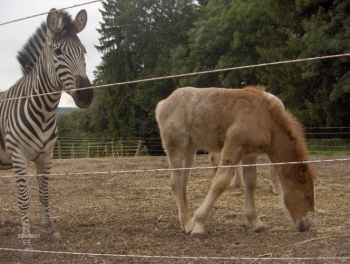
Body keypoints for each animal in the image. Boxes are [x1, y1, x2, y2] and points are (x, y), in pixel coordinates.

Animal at [0, 7, 94, 260]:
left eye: (84, 51)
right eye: (58, 52)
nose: (86, 96)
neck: (44, 112)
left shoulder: (46, 155)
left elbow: (44, 194)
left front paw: (51, 230)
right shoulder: (19, 156)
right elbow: (24, 200)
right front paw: (26, 245)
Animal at [155, 86, 314, 237]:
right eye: (307, 195)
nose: (306, 225)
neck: (266, 119)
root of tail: (163, 104)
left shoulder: (251, 155)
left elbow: (250, 182)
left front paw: (255, 222)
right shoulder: (233, 147)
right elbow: (220, 183)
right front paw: (199, 224)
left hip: (190, 148)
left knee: (184, 181)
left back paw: (186, 222)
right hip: (176, 145)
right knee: (176, 181)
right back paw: (188, 225)